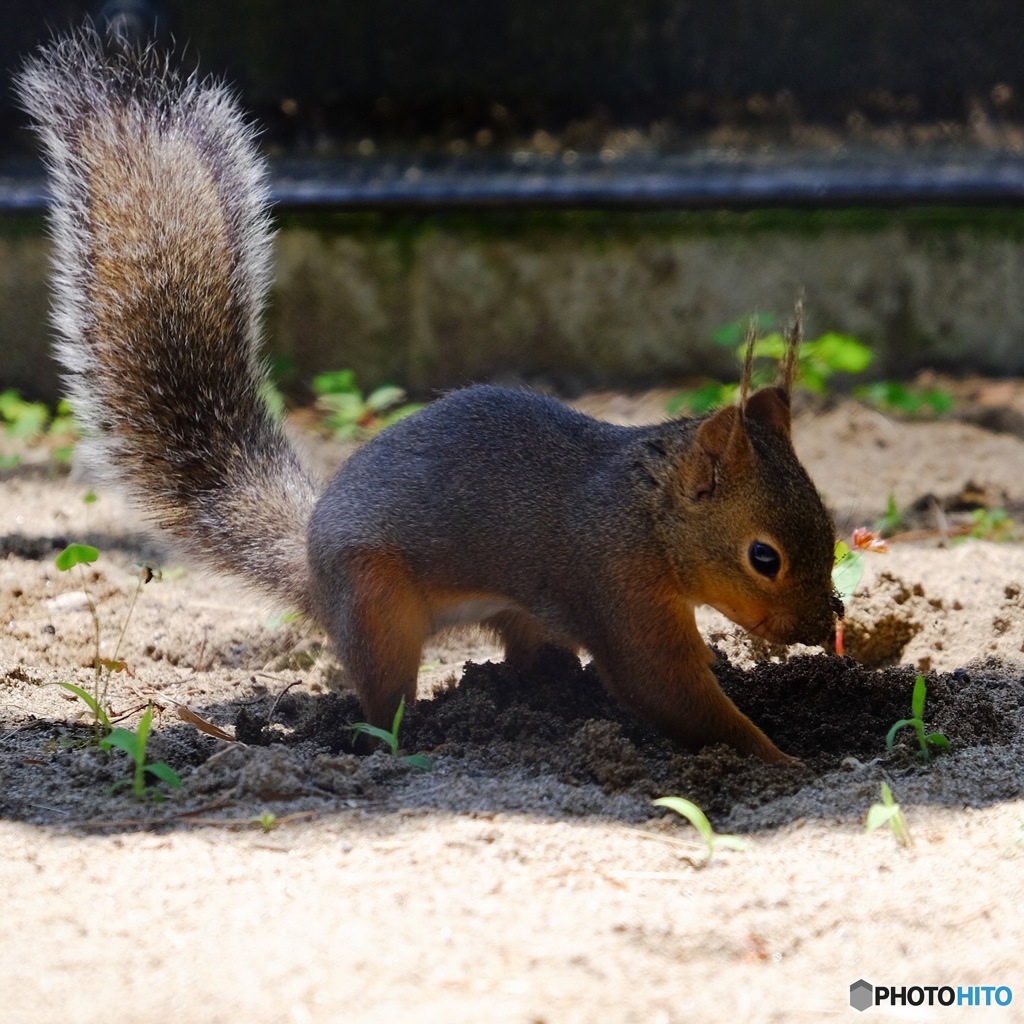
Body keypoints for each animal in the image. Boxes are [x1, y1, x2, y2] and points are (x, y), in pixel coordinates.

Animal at [19, 28, 843, 761]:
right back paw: (405, 737)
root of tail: (312, 566)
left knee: (523, 650)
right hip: (375, 602)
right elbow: (663, 688)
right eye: (763, 556)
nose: (819, 627)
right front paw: (780, 760)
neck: (645, 512)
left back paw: (546, 689)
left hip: (511, 607)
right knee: (385, 693)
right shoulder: (616, 584)